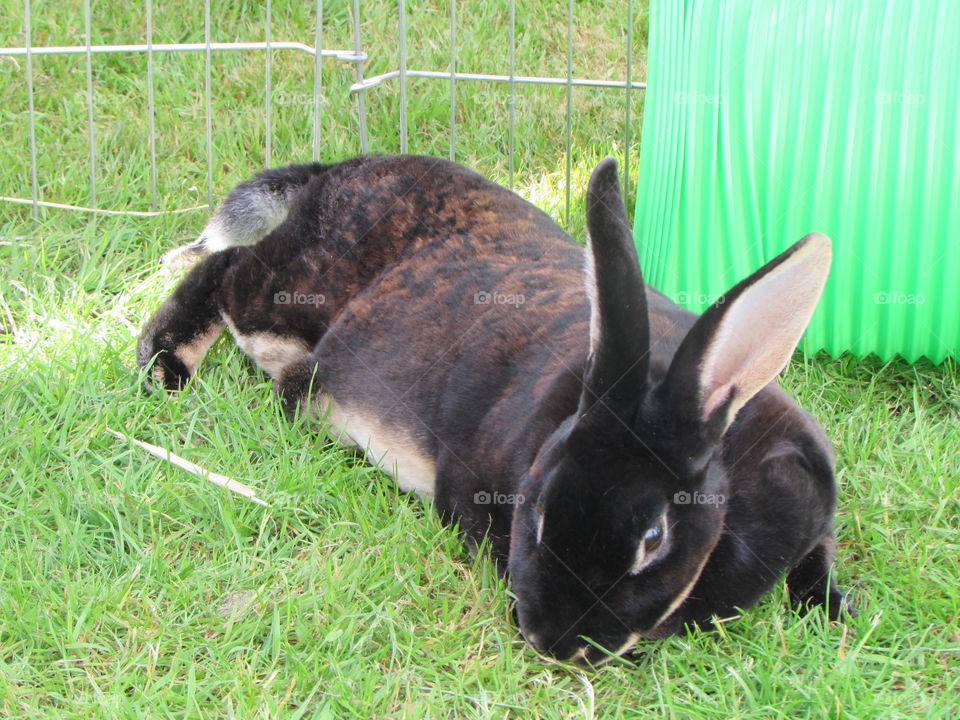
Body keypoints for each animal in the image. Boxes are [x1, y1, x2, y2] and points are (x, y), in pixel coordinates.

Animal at [139, 155, 852, 668]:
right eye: (538, 506)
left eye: (653, 539)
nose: (554, 643)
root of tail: (341, 167)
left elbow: (820, 557)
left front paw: (834, 610)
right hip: (287, 291)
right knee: (223, 270)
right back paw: (163, 367)